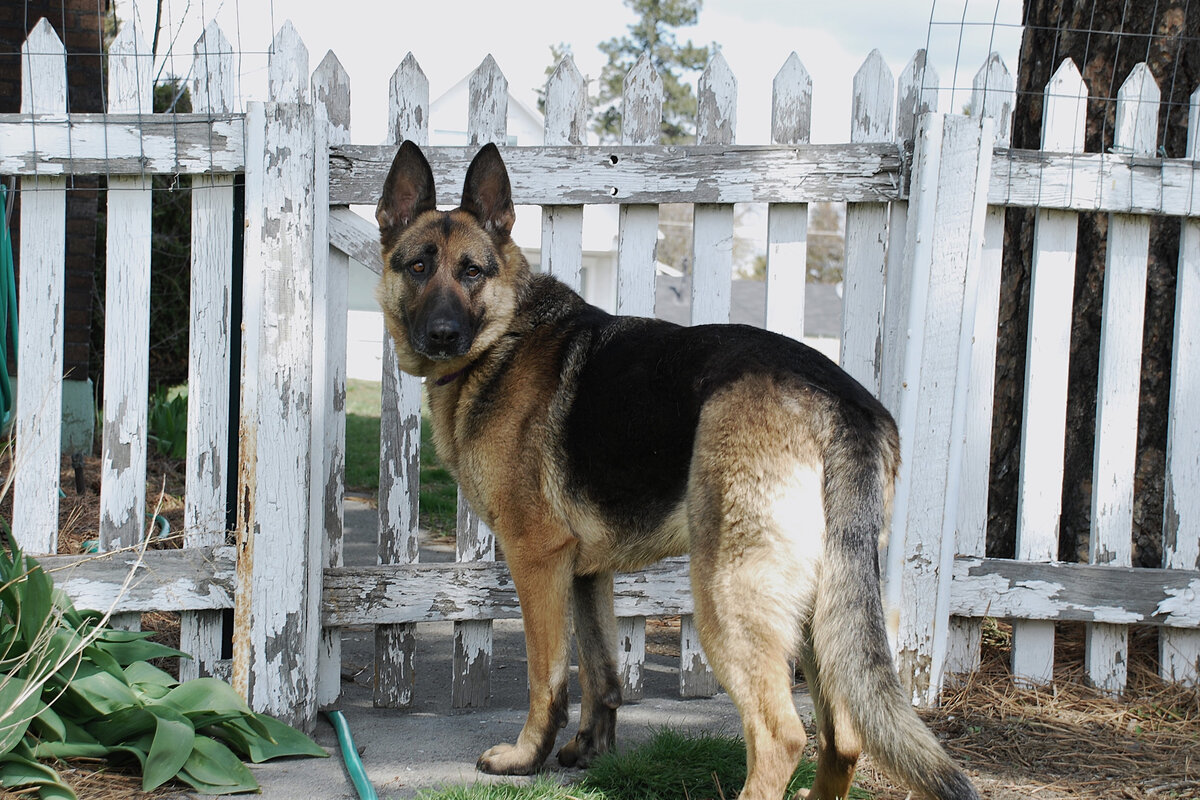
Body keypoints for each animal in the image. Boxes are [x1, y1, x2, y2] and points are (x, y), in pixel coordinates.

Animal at [376, 140, 984, 796]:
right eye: (418, 267)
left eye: (472, 271)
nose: (443, 335)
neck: (503, 336)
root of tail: (840, 401)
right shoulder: (586, 573)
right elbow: (600, 672)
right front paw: (590, 750)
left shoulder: (537, 559)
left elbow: (549, 677)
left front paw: (525, 757)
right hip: (821, 607)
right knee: (844, 733)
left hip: (727, 593)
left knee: (781, 734)